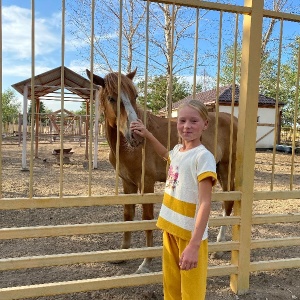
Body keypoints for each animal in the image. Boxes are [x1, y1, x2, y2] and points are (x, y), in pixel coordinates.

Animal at [86, 69, 237, 274]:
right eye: (111, 98)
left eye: (135, 96)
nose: (136, 136)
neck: (126, 148)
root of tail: (233, 119)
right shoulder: (127, 182)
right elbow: (128, 215)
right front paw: (122, 253)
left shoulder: (146, 183)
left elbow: (147, 218)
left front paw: (146, 263)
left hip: (226, 168)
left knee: (228, 202)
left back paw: (220, 247)